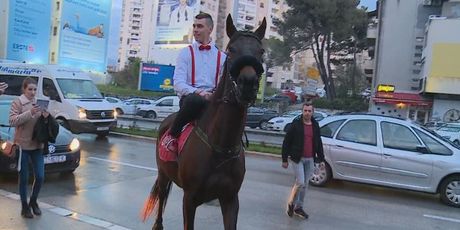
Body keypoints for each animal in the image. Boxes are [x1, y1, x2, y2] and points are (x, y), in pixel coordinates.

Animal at [142, 14, 268, 230]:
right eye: (231, 49)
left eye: (261, 51)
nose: (248, 83)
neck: (221, 146)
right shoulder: (189, 199)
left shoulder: (230, 199)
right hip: (163, 173)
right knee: (161, 196)